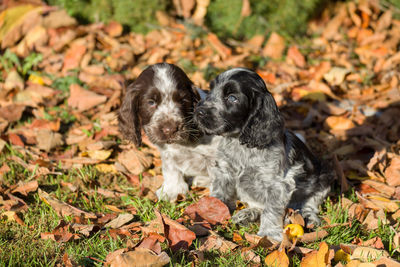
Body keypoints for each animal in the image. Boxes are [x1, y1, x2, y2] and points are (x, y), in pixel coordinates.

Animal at [117, 62, 220, 201]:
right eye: (151, 102)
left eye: (183, 100)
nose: (170, 129)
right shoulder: (167, 151)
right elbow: (170, 169)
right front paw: (172, 191)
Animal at [194, 68, 332, 242]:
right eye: (210, 90)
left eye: (232, 98)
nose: (198, 111)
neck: (240, 144)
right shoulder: (224, 172)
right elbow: (219, 194)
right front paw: (209, 211)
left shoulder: (277, 185)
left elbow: (270, 210)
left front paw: (268, 234)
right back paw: (247, 214)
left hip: (323, 178)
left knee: (309, 203)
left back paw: (307, 216)